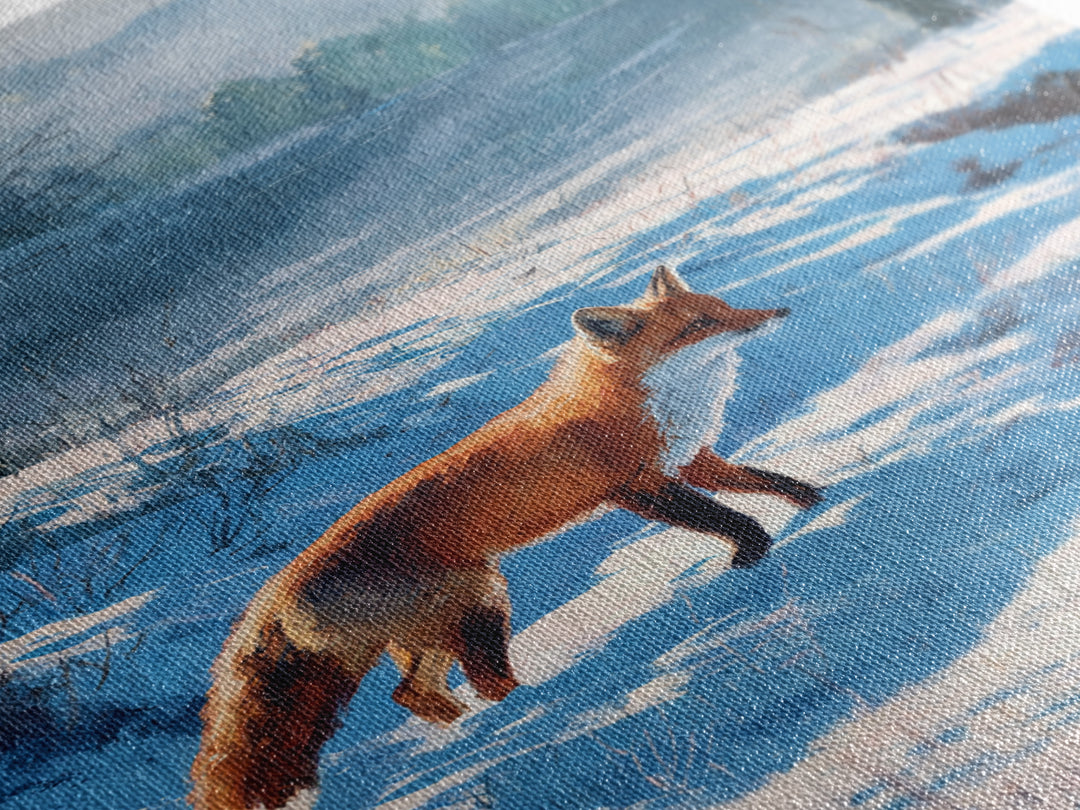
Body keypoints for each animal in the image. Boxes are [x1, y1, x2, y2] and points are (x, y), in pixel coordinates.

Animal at [189, 265, 823, 810]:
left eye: (724, 307)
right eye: (697, 326)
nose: (779, 312)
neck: (638, 400)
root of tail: (275, 590)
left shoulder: (691, 460)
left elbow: (764, 482)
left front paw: (813, 500)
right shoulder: (640, 489)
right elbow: (729, 519)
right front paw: (752, 558)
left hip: (436, 626)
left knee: (414, 695)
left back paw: (472, 731)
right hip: (479, 596)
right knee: (484, 683)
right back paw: (547, 705)